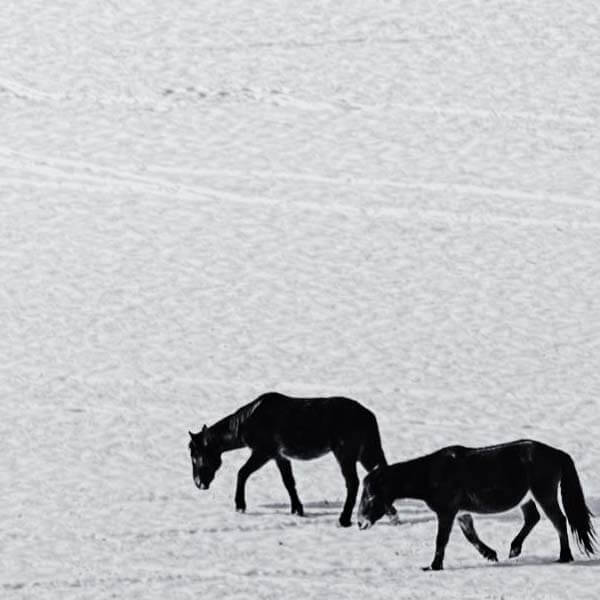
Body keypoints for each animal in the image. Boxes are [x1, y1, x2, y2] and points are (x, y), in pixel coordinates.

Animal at [189, 394, 398, 524]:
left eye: (196, 454)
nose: (199, 483)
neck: (249, 420)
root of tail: (369, 416)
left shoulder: (263, 453)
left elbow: (242, 473)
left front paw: (240, 505)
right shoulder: (279, 457)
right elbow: (289, 482)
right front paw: (298, 509)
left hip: (346, 455)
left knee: (352, 483)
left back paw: (344, 519)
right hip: (367, 453)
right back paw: (391, 515)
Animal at [356, 438, 596, 568]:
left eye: (370, 496)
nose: (360, 522)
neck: (430, 474)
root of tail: (557, 453)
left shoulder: (446, 511)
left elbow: (441, 539)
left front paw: (434, 566)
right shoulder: (461, 512)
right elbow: (471, 535)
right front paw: (490, 554)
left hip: (544, 493)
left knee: (559, 521)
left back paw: (564, 557)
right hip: (528, 498)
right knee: (533, 518)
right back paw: (514, 549)